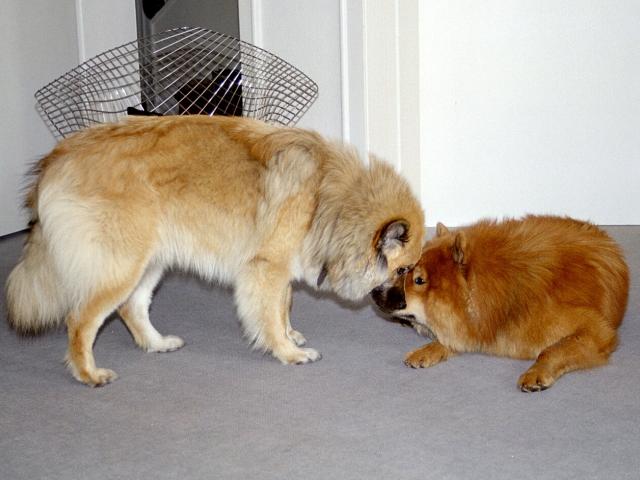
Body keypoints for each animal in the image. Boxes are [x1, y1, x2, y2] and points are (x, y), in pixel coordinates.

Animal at [6, 115, 425, 386]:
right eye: (404, 271)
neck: (328, 199)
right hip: (121, 266)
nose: (404, 308)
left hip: (151, 262)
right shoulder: (265, 268)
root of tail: (57, 158)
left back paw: (157, 344)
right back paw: (88, 374)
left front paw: (290, 336)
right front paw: (287, 351)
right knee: (80, 320)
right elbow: (270, 315)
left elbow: (284, 305)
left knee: (131, 308)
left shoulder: (278, 268)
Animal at [372, 215, 629, 392]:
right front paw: (426, 351)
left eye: (419, 280)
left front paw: (537, 373)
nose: (374, 292)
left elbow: (551, 350)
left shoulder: (597, 331)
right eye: (403, 269)